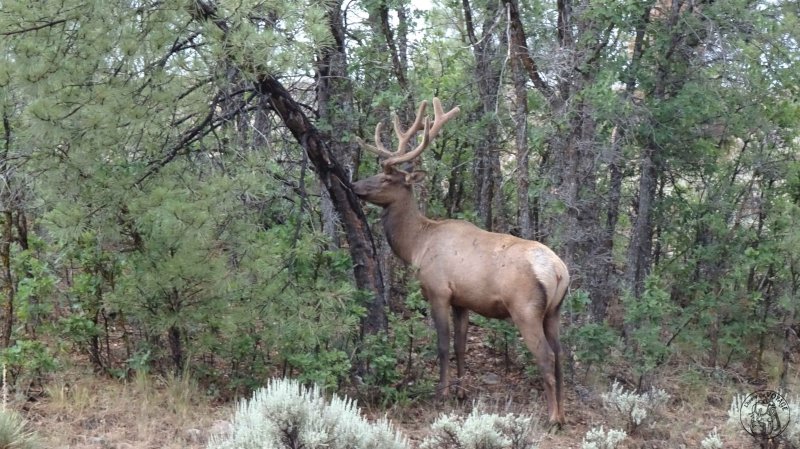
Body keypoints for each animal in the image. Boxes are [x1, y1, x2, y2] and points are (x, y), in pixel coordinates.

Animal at [354, 97, 568, 424]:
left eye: (387, 178)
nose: (354, 185)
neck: (417, 244)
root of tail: (558, 271)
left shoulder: (439, 291)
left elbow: (443, 345)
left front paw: (441, 393)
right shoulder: (462, 300)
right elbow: (461, 345)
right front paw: (460, 391)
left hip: (526, 309)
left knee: (546, 356)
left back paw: (552, 417)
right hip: (554, 311)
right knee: (562, 356)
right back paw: (564, 412)